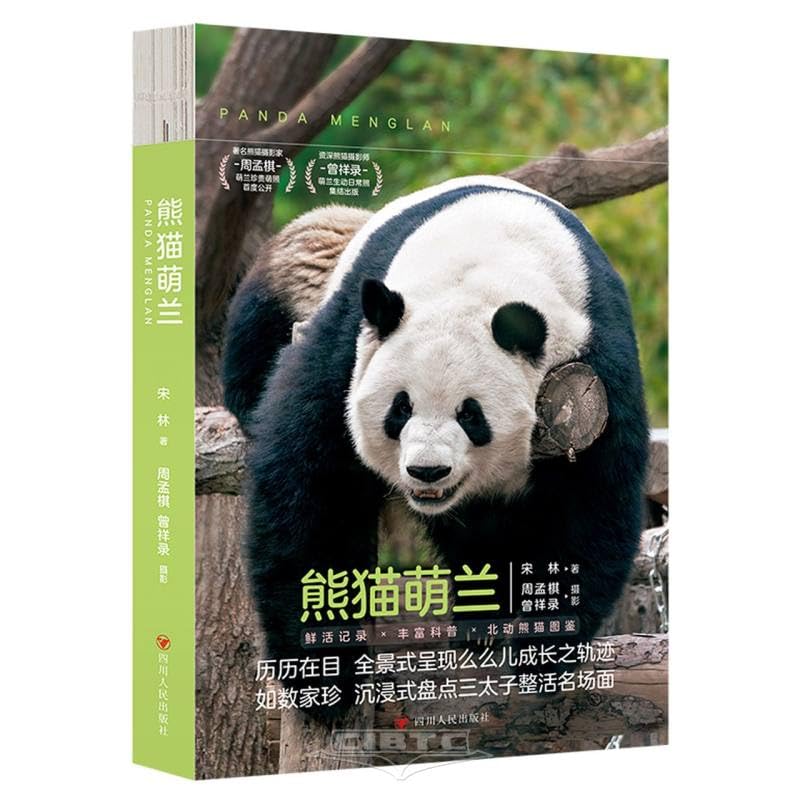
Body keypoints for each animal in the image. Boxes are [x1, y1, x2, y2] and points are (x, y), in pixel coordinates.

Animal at [222, 175, 650, 720]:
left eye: (471, 415)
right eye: (399, 408)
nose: (427, 471)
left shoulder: (594, 372)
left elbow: (592, 508)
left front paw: (540, 653)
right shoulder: (352, 344)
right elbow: (313, 487)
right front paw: (323, 676)